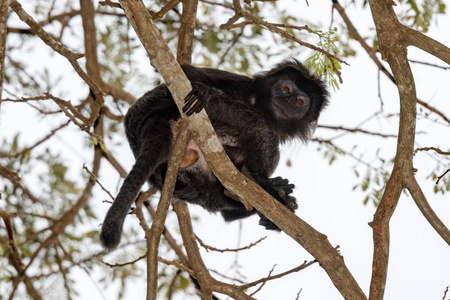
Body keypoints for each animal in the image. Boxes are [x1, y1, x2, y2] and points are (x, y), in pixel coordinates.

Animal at [100, 59, 328, 251]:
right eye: (286, 88)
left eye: (300, 102)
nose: (287, 100)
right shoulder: (242, 83)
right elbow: (183, 71)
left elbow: (226, 213)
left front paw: (280, 203)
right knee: (262, 131)